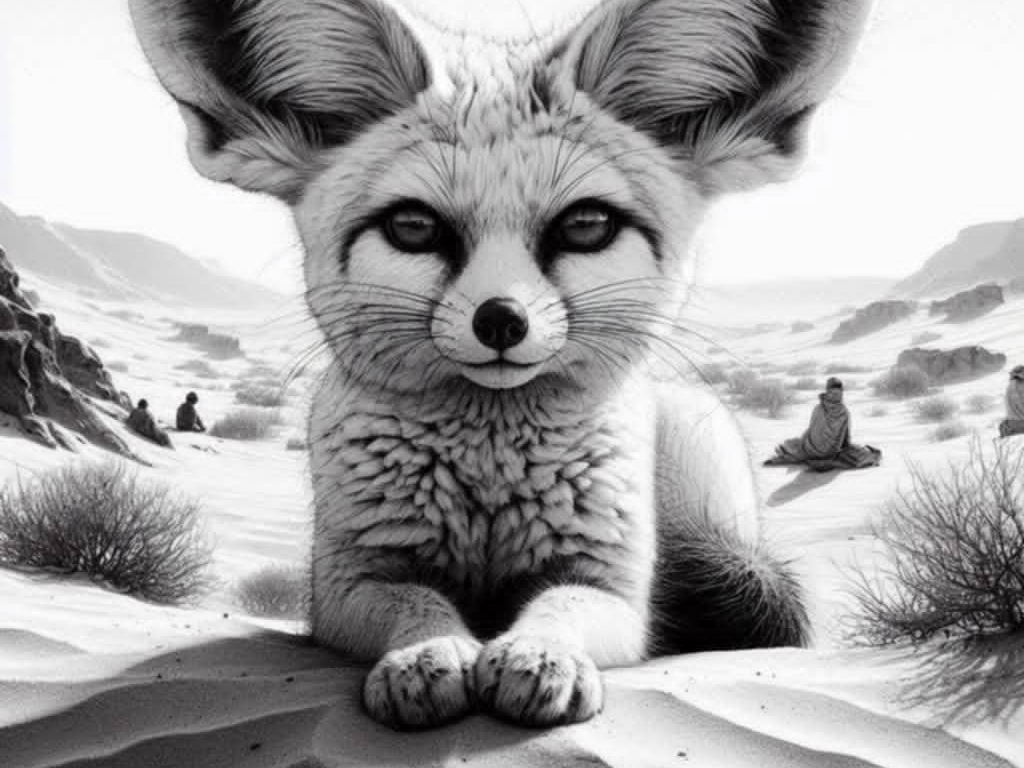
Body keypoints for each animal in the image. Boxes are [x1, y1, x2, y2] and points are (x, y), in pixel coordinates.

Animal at [130, 0, 869, 730]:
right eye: (414, 228)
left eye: (586, 226)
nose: (501, 321)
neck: (489, 473)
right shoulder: (347, 585)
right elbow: (416, 604)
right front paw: (426, 655)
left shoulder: (613, 588)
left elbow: (561, 606)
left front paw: (540, 655)